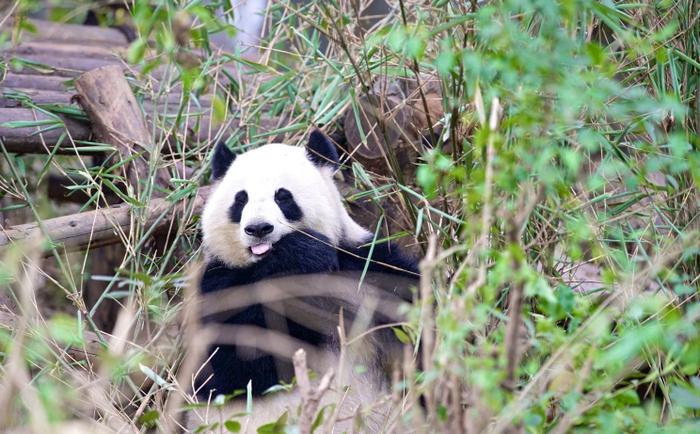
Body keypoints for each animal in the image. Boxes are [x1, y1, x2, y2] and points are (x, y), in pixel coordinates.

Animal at [189, 131, 418, 432]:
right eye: (240, 200)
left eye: (283, 196)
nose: (258, 228)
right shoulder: (217, 285)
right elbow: (233, 370)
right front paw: (303, 252)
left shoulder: (365, 268)